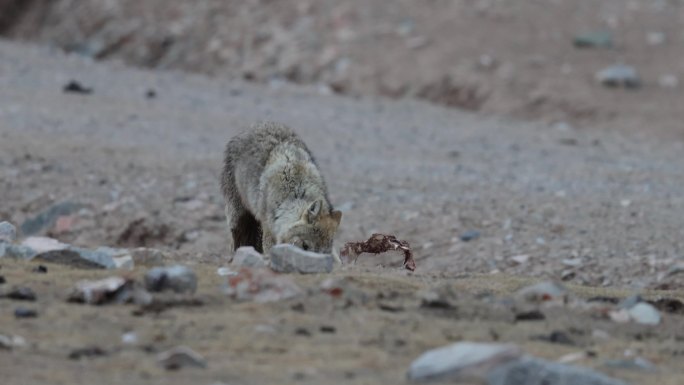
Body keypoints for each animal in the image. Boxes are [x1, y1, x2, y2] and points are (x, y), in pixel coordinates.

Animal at [220, 121, 340, 254]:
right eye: (305, 245)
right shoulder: (269, 231)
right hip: (239, 219)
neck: (295, 192)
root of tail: (256, 125)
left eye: (322, 254)